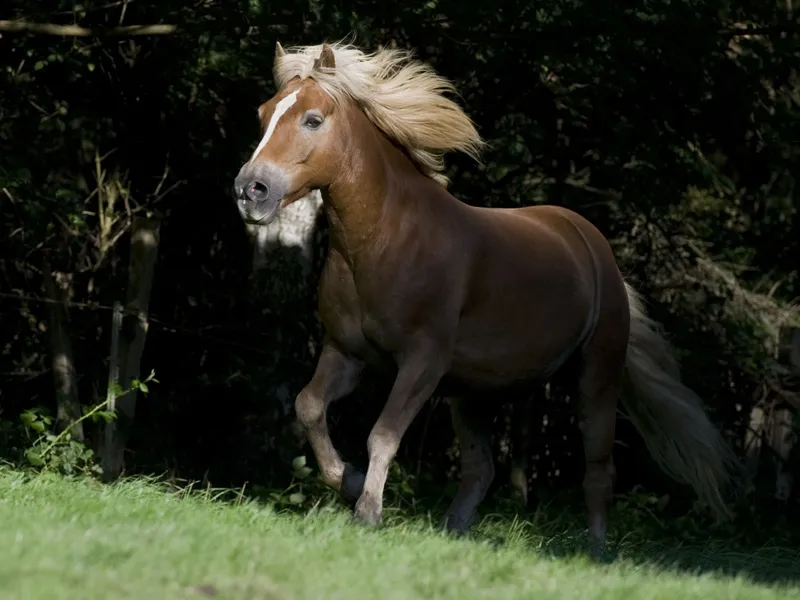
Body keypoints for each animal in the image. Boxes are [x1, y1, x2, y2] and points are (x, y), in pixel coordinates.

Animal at [233, 39, 736, 552]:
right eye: (264, 113)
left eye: (313, 119)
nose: (251, 189)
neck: (385, 240)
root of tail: (596, 250)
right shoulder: (346, 352)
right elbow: (309, 407)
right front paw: (349, 481)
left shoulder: (422, 361)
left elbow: (383, 435)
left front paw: (368, 512)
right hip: (472, 392)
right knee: (481, 468)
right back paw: (455, 531)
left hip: (596, 376)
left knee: (598, 468)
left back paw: (595, 550)